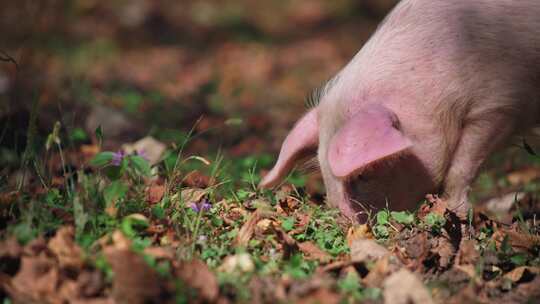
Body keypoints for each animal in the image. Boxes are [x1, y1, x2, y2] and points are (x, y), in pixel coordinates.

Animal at [258, 0, 540, 223]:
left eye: (363, 174)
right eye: (322, 169)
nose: (344, 222)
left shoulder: (496, 105)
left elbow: (461, 168)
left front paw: (454, 212)